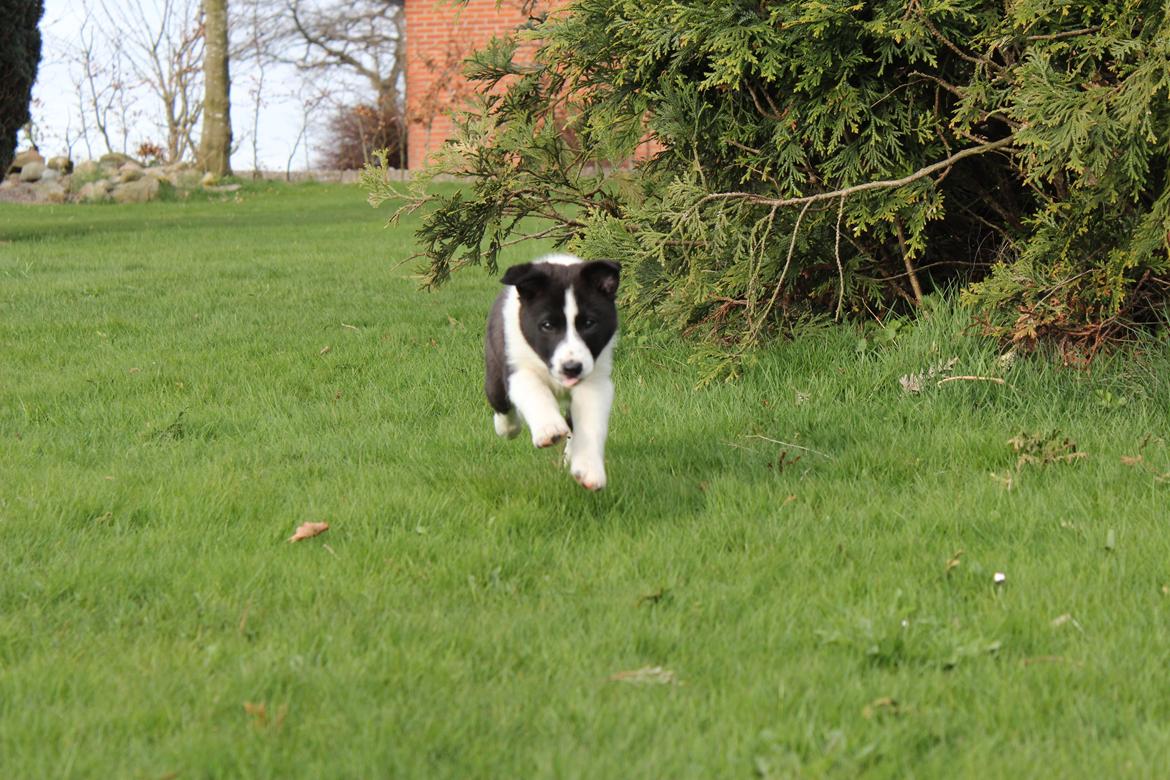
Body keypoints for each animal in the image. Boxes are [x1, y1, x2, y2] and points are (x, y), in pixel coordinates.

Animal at [484, 254, 622, 488]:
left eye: (589, 323)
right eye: (547, 325)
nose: (572, 368)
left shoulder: (595, 381)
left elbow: (591, 424)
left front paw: (589, 470)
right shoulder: (518, 368)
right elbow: (535, 393)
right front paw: (549, 429)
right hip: (494, 367)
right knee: (499, 400)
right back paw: (508, 428)